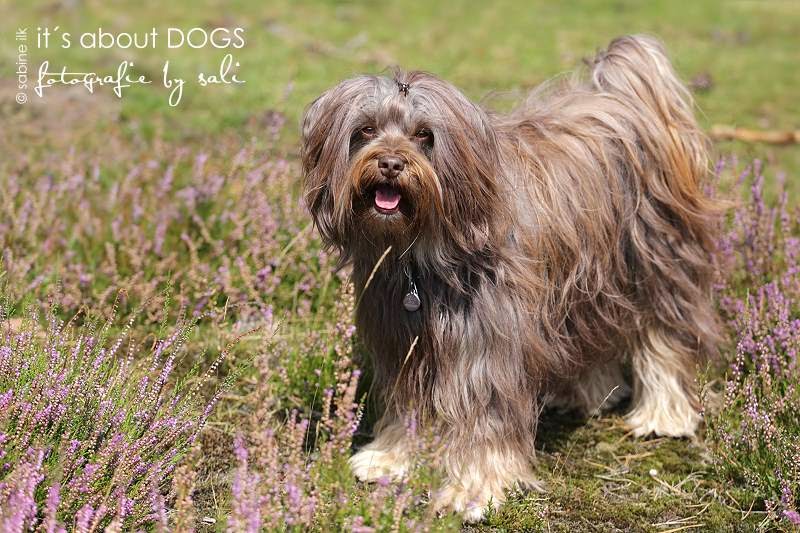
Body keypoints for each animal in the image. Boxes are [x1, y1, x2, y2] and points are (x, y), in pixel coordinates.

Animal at [298, 34, 720, 520]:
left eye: (425, 136)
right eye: (365, 130)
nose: (389, 164)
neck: (420, 253)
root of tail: (622, 95)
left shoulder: (488, 343)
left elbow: (486, 416)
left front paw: (473, 488)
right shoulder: (403, 338)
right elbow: (408, 403)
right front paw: (392, 457)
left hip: (654, 262)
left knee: (663, 334)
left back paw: (662, 414)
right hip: (583, 284)